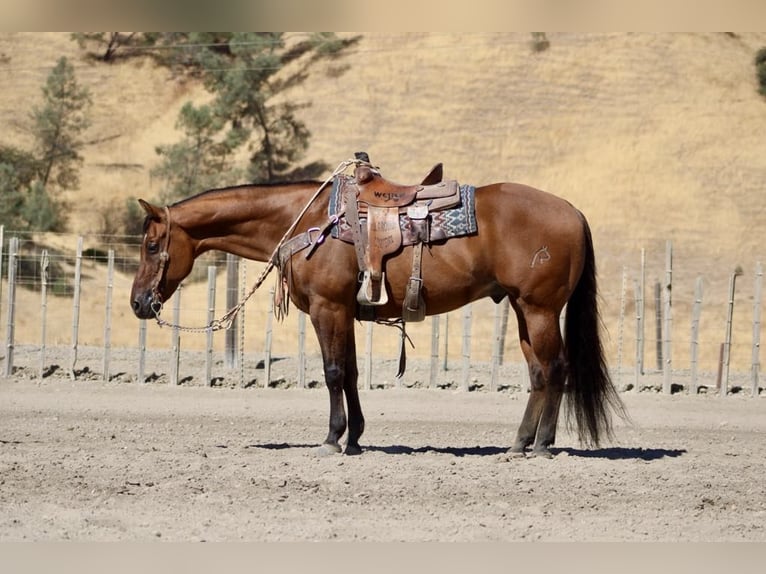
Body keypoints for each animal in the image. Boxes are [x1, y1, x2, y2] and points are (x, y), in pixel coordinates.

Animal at [130, 160, 626, 458]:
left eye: (152, 245)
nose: (138, 303)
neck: (312, 223)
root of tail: (573, 211)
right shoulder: (343, 313)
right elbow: (349, 373)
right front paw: (355, 439)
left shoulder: (327, 309)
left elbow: (332, 373)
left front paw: (331, 439)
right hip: (524, 311)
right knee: (539, 373)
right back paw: (520, 442)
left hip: (540, 309)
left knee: (556, 368)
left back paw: (541, 445)